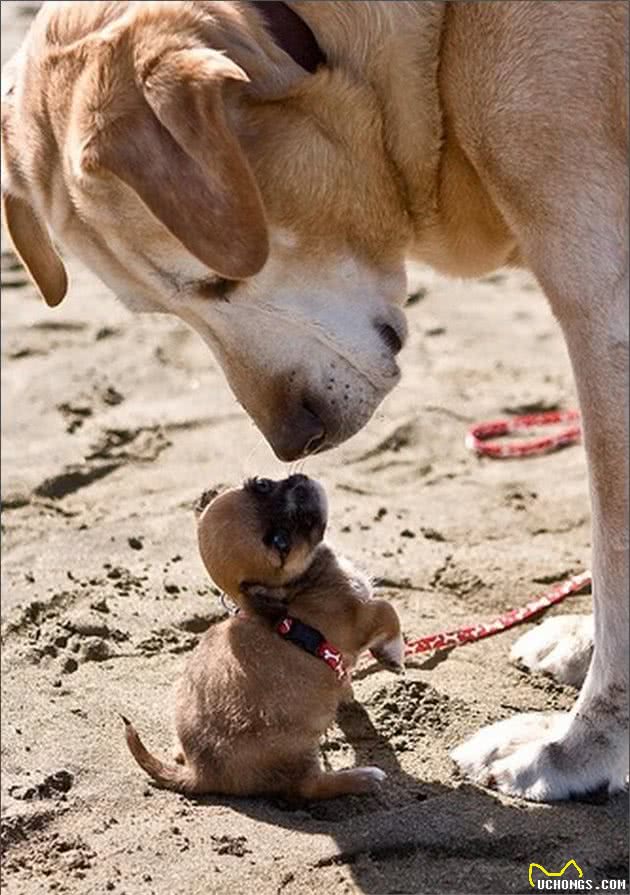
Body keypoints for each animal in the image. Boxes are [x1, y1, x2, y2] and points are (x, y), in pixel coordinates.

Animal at [124, 476, 404, 800]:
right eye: (281, 542)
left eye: (262, 484)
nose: (301, 487)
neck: (298, 586)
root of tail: (201, 772)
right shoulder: (361, 617)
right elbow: (388, 611)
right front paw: (394, 655)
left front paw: (347, 691)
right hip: (299, 751)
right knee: (308, 787)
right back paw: (362, 778)